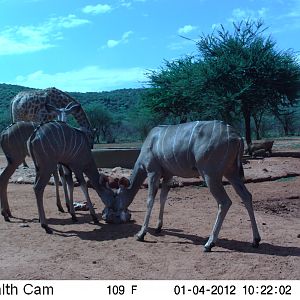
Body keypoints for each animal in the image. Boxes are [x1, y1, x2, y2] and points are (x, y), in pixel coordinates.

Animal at [116, 120, 262, 252]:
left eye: (117, 194)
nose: (117, 214)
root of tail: (237, 137)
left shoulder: (153, 172)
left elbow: (150, 201)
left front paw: (141, 234)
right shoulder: (168, 175)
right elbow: (163, 198)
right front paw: (158, 227)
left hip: (210, 175)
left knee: (224, 202)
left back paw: (209, 244)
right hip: (231, 173)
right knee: (246, 196)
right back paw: (255, 240)